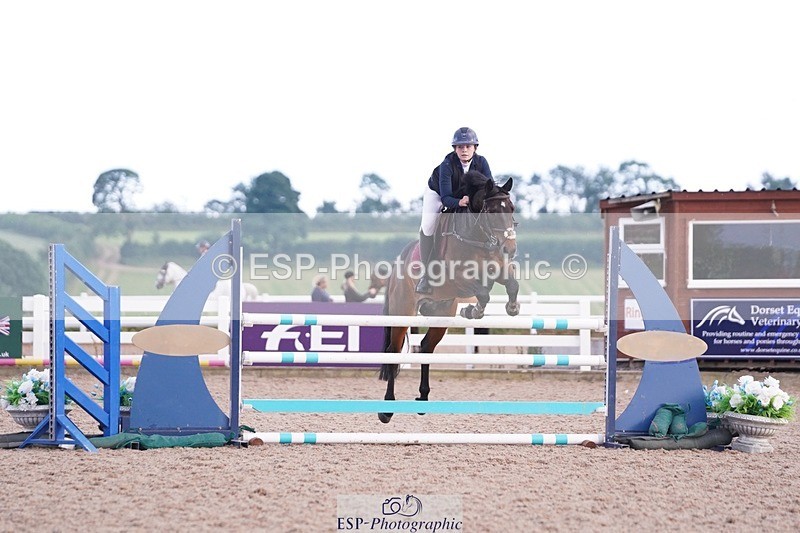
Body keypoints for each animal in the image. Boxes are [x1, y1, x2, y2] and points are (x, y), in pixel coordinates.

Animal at [378, 171, 519, 423]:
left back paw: (423, 399)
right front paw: (474, 310)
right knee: (393, 351)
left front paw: (510, 308)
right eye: (492, 211)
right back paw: (387, 409)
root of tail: (395, 268)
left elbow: (511, 284)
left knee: (426, 347)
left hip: (440, 314)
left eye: (511, 208)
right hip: (403, 312)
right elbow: (482, 292)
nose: (510, 249)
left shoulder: (499, 269)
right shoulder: (458, 281)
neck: (476, 238)